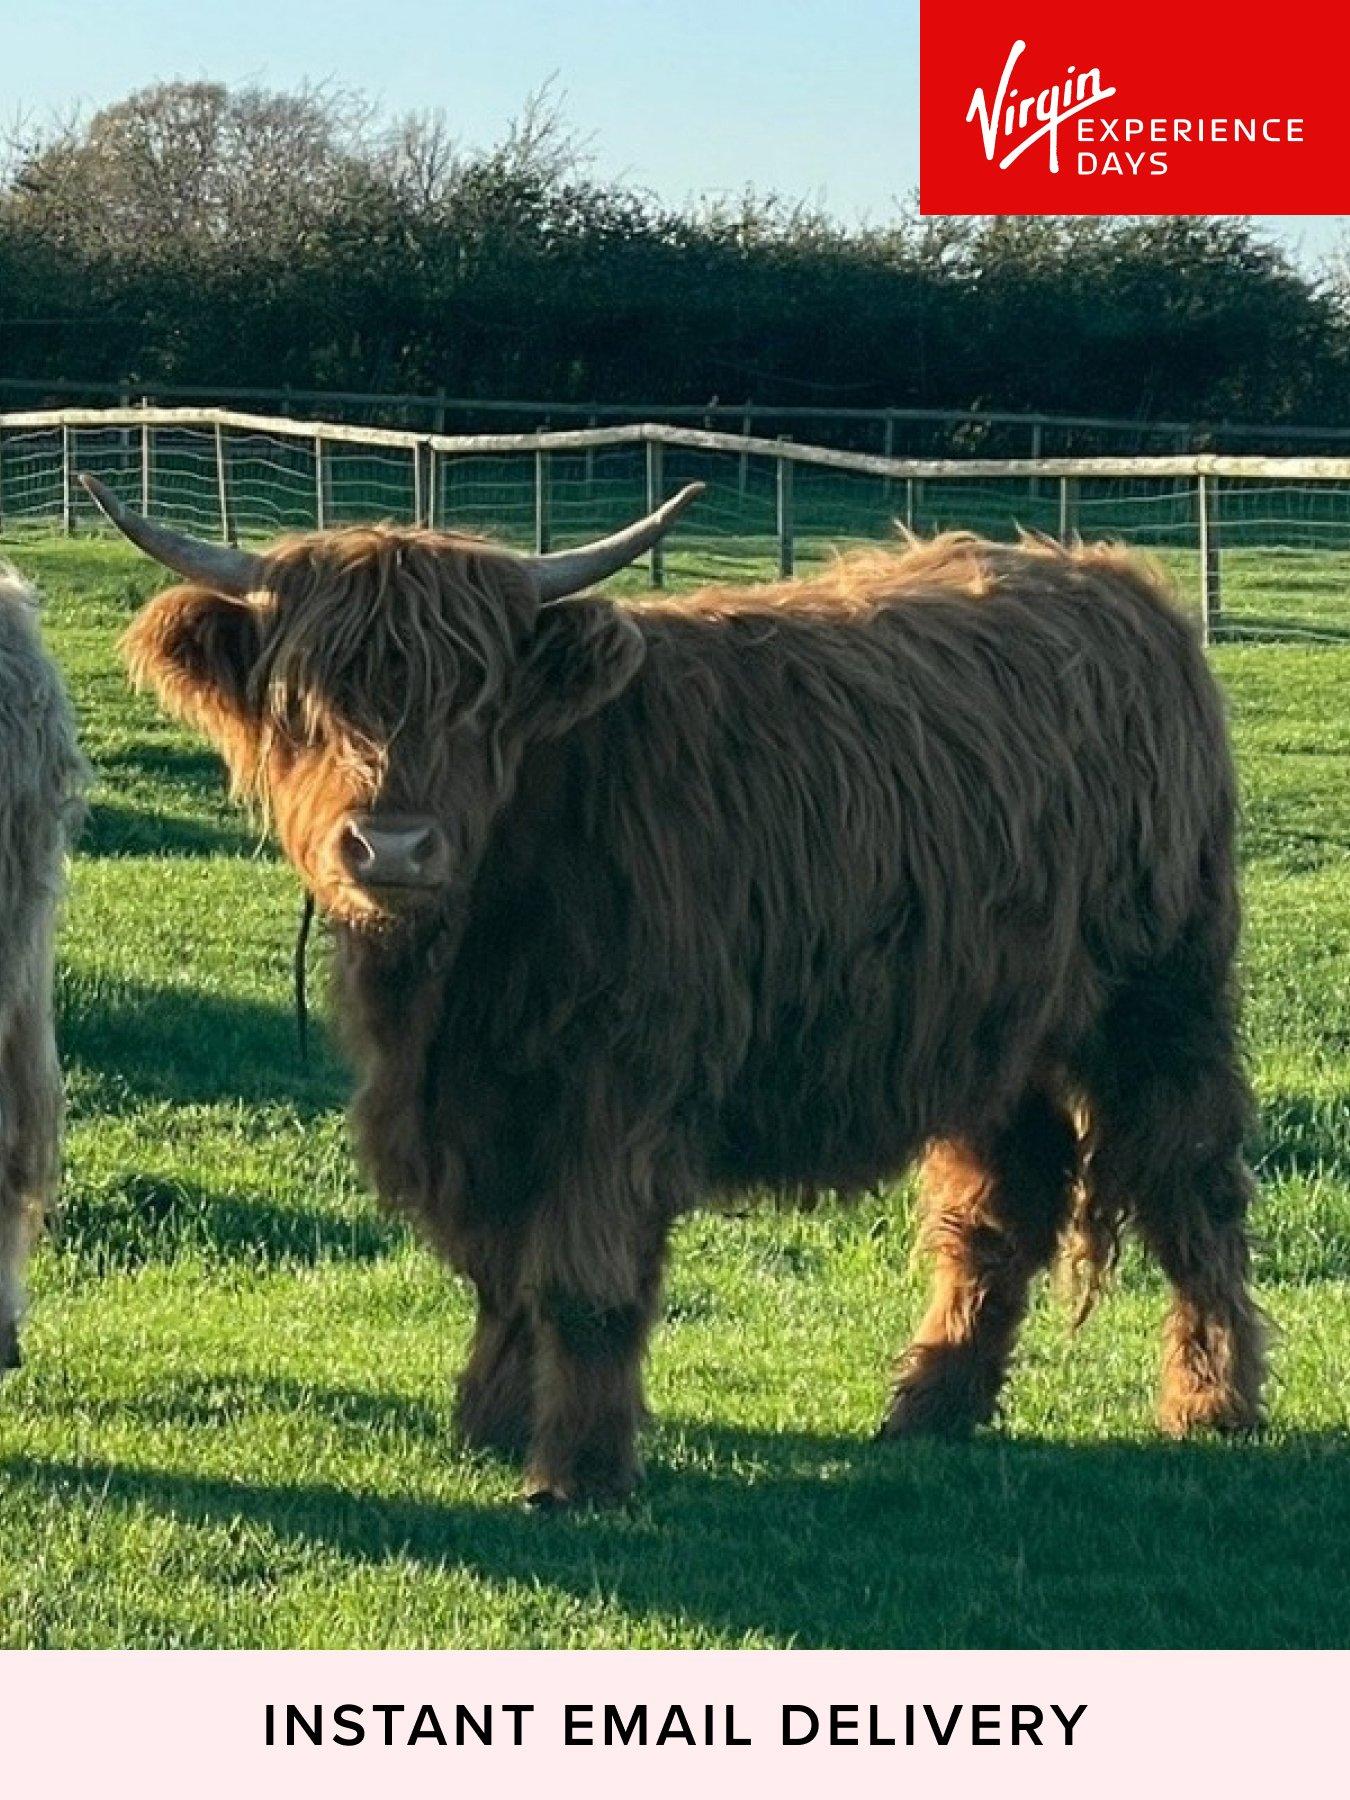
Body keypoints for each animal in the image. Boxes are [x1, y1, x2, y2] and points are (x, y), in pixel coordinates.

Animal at [84, 470, 1267, 1505]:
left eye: (478, 703)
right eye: (303, 703)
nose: (394, 846)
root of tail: (1115, 583)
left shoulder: (616, 1087)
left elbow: (582, 1283)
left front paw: (578, 1472)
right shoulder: (471, 1106)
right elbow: (501, 1273)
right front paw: (490, 1422)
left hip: (1160, 997)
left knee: (1191, 1182)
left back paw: (1213, 1402)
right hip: (989, 1026)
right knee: (1001, 1200)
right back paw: (931, 1404)